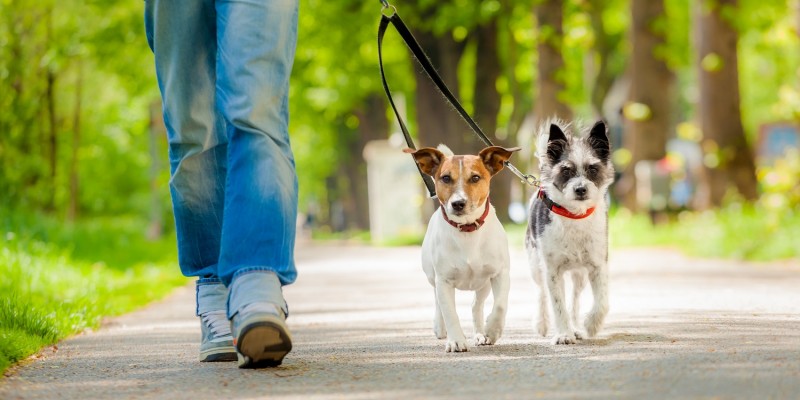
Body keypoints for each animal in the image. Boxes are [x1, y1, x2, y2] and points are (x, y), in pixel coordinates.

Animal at [406, 145, 520, 352]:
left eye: (475, 177)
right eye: (445, 178)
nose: (458, 203)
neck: (467, 230)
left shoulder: (500, 273)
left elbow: (500, 305)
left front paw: (492, 330)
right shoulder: (443, 281)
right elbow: (450, 313)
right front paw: (456, 340)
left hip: (483, 284)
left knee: (476, 306)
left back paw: (480, 334)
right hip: (432, 277)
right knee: (438, 301)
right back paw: (440, 327)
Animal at [528, 119, 616, 344]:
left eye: (592, 168)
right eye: (566, 170)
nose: (580, 189)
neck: (574, 216)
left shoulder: (598, 266)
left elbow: (603, 302)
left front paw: (591, 325)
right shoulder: (552, 271)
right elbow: (558, 305)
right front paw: (563, 334)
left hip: (579, 275)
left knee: (575, 300)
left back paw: (576, 327)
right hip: (536, 265)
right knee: (541, 293)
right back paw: (542, 323)